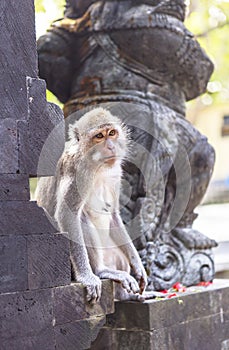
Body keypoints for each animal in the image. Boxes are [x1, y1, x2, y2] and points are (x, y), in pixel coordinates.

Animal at [35, 108, 163, 302]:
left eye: (112, 133)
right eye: (99, 136)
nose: (111, 147)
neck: (98, 166)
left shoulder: (116, 172)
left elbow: (114, 215)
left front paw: (138, 264)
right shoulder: (78, 171)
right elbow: (67, 214)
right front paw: (86, 276)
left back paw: (125, 295)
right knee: (81, 218)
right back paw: (100, 271)